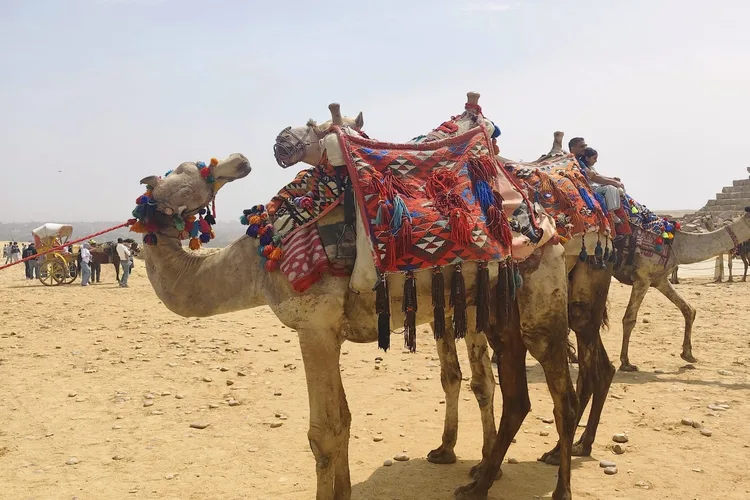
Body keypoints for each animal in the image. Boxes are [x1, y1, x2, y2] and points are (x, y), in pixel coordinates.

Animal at [274, 93, 617, 498]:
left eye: (319, 126)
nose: (282, 141)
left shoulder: (469, 308)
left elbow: (480, 381)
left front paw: (482, 464)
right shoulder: (452, 308)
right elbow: (454, 376)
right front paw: (450, 451)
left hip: (574, 293)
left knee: (583, 369)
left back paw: (564, 460)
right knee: (585, 370)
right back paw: (569, 448)